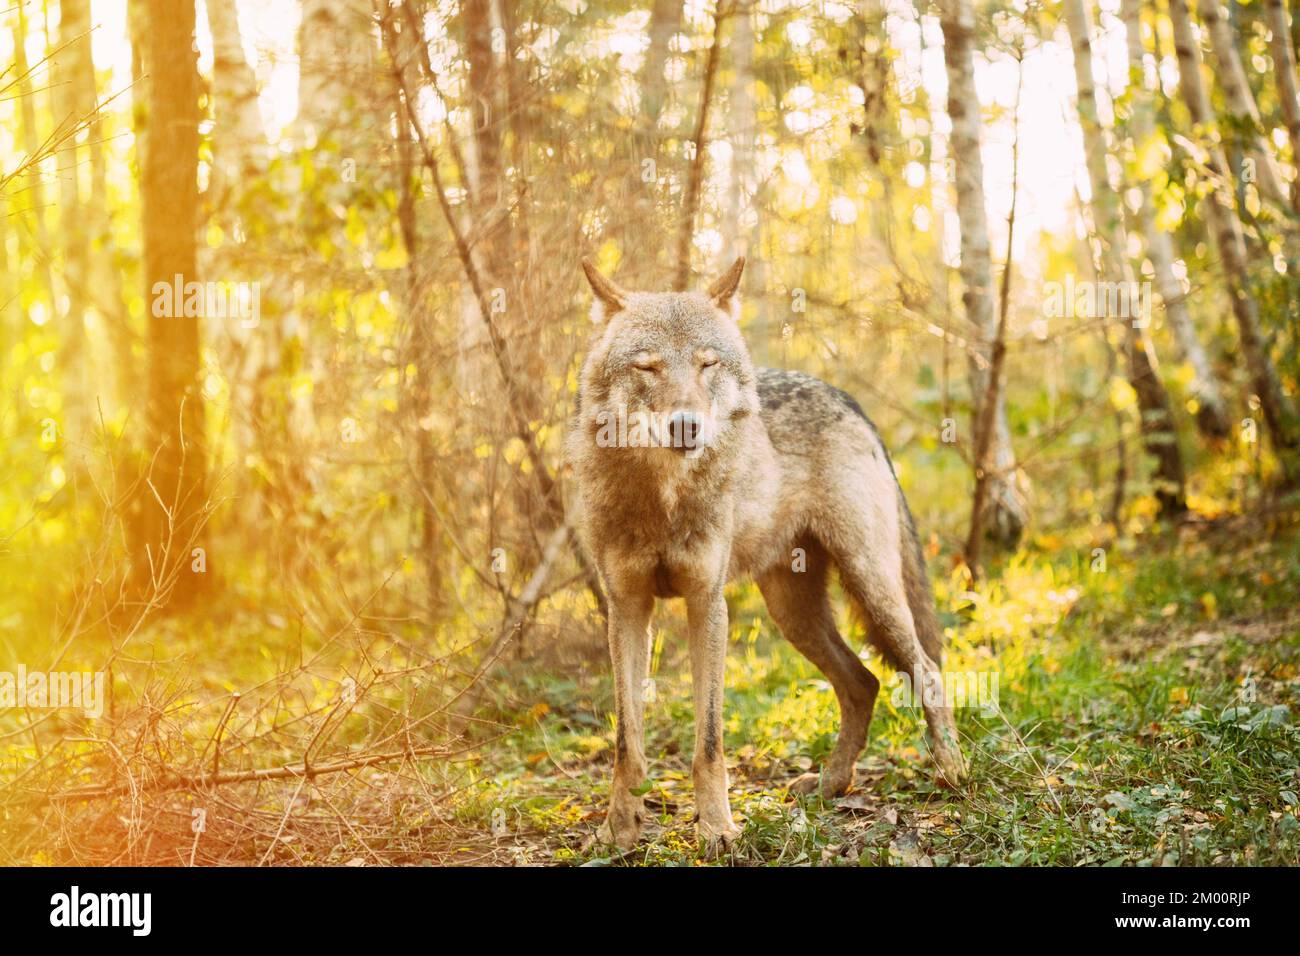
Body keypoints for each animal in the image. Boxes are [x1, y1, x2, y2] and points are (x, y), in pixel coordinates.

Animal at [566, 257, 967, 848]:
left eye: (707, 364)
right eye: (648, 367)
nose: (686, 425)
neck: (664, 498)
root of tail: (847, 399)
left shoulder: (707, 605)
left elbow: (708, 743)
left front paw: (717, 830)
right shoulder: (627, 609)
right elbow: (626, 744)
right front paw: (619, 832)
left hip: (871, 588)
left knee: (927, 669)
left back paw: (953, 771)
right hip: (793, 613)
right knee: (864, 683)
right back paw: (830, 784)